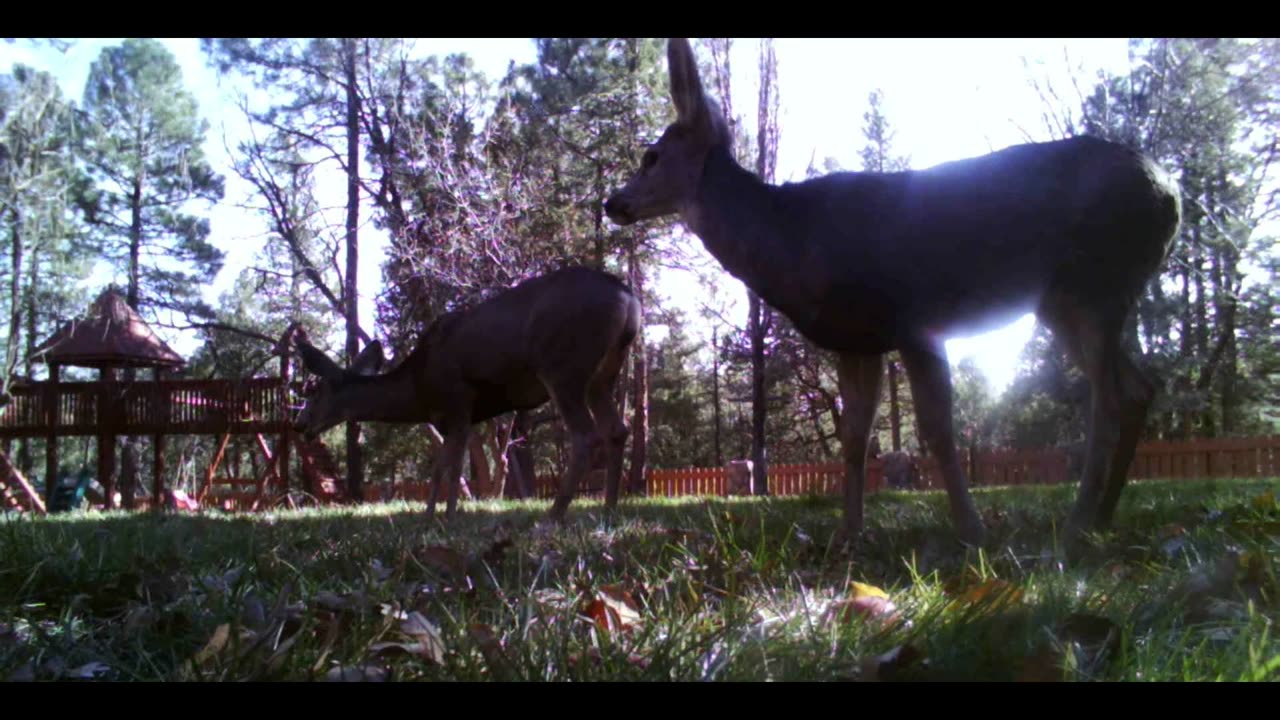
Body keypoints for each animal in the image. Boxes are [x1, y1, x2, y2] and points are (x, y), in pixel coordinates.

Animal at [290, 266, 640, 517]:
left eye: (314, 391)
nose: (299, 424)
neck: (418, 389)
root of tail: (628, 297)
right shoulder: (448, 419)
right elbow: (439, 469)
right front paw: (429, 517)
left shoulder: (458, 400)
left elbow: (454, 467)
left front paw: (449, 517)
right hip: (603, 375)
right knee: (617, 430)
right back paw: (609, 510)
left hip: (563, 364)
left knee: (585, 435)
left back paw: (553, 516)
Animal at [604, 39, 1182, 543]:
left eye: (651, 156)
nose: (612, 202)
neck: (792, 237)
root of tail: (1170, 191)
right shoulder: (857, 337)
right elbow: (856, 438)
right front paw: (848, 534)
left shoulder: (914, 318)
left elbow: (937, 429)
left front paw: (972, 531)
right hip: (1066, 302)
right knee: (1138, 388)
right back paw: (1103, 515)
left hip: (1097, 282)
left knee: (1108, 398)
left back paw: (1079, 522)